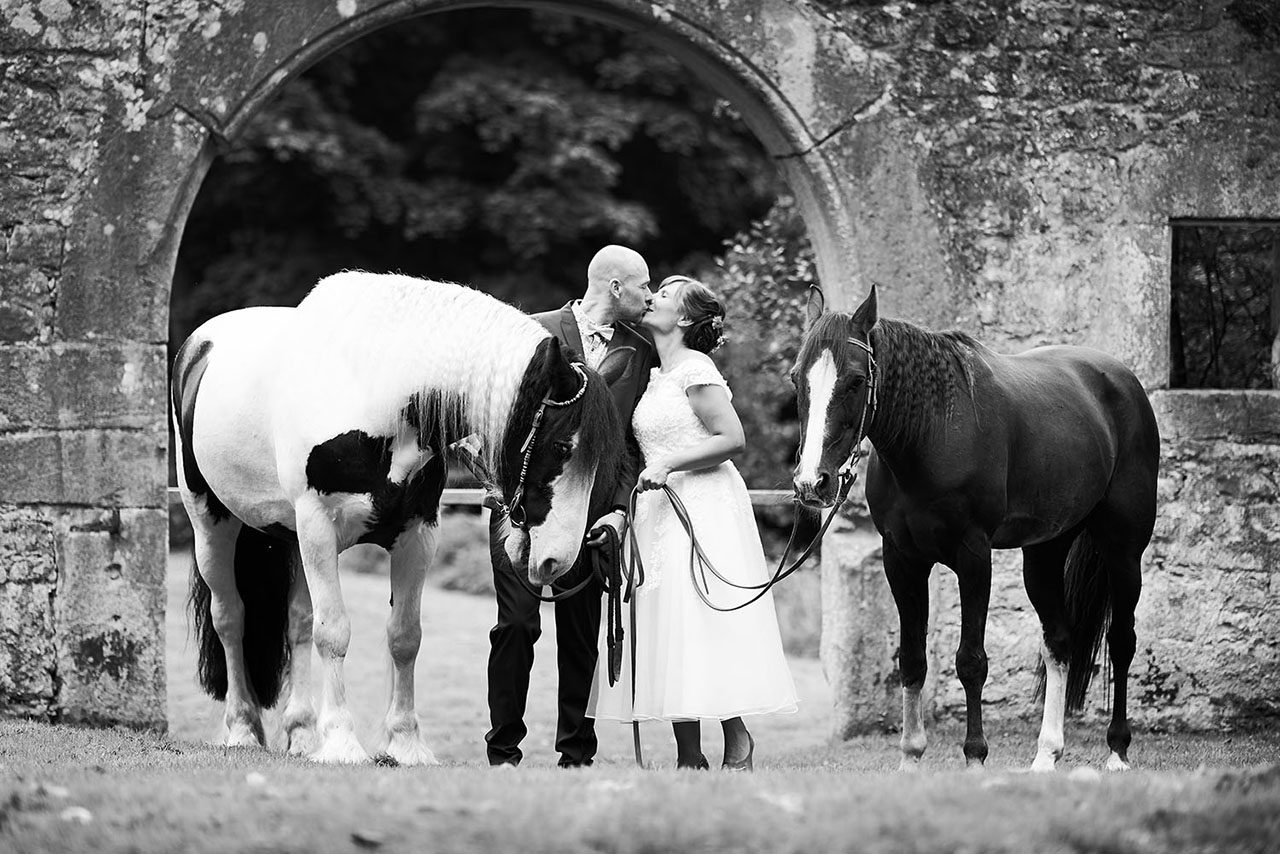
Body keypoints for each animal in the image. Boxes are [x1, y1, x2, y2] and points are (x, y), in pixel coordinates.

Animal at [788, 286, 1162, 773]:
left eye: (854, 381)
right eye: (796, 379)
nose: (811, 483)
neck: (931, 435)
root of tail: (1120, 379)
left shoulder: (973, 557)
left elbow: (971, 661)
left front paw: (975, 757)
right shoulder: (902, 560)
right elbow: (912, 659)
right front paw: (911, 758)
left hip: (1123, 550)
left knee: (1121, 641)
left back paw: (1117, 750)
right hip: (1043, 553)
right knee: (1059, 641)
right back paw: (1046, 755)